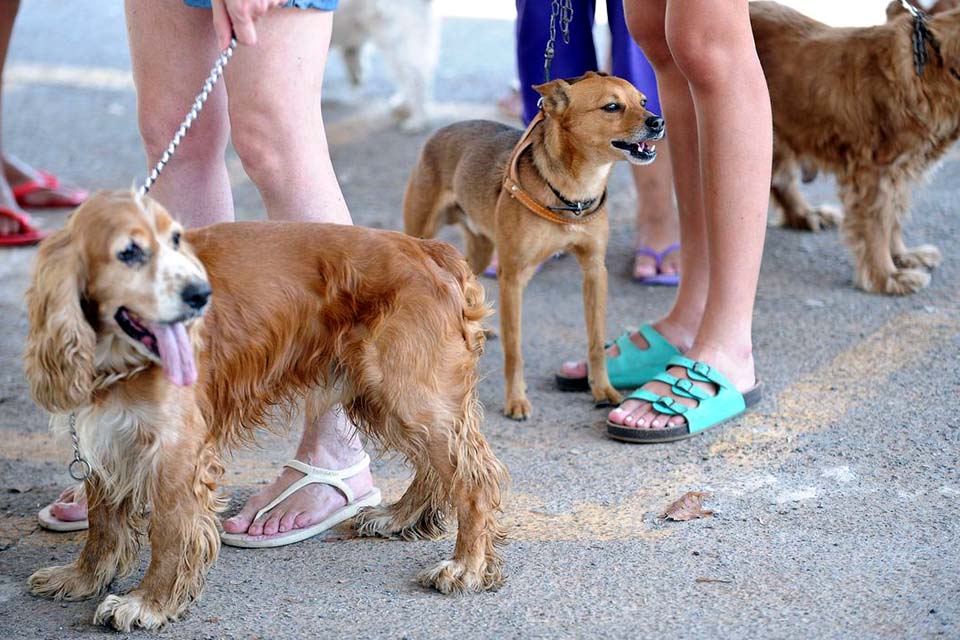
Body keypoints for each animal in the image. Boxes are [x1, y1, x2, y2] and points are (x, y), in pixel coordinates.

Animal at [22, 190, 510, 632]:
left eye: (176, 240)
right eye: (129, 252)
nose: (201, 295)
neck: (117, 356)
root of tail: (430, 250)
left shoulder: (176, 450)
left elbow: (169, 531)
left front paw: (149, 602)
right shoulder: (107, 436)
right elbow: (102, 524)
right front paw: (82, 578)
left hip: (405, 390)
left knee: (473, 478)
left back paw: (466, 566)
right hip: (385, 395)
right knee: (437, 466)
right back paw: (401, 517)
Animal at [402, 72, 664, 420]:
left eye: (643, 101)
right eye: (611, 107)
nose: (658, 121)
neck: (574, 192)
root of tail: (441, 131)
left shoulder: (594, 271)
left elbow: (596, 341)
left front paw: (602, 389)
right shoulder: (513, 278)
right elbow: (514, 350)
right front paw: (516, 400)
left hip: (482, 249)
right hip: (422, 233)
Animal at [752, 0, 960, 296]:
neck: (931, 64)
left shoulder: (897, 170)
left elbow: (893, 217)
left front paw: (902, 257)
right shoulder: (873, 171)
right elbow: (877, 225)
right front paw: (887, 277)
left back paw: (807, 215)